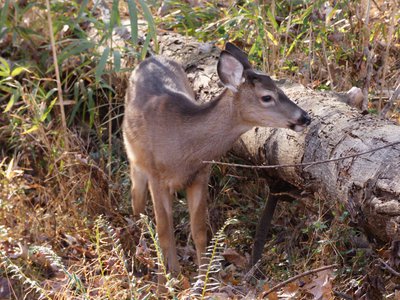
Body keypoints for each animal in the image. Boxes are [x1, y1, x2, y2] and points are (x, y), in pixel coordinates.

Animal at [123, 42, 310, 286]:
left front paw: (202, 281)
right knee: (136, 203)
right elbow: (164, 230)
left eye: (281, 89)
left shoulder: (201, 174)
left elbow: (199, 230)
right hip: (135, 160)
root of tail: (149, 59)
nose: (305, 117)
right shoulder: (156, 176)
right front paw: (167, 281)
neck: (184, 147)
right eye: (267, 97)